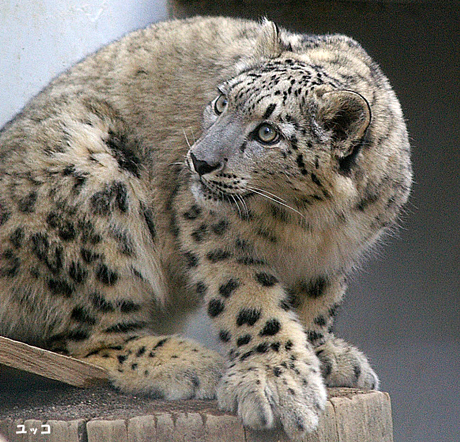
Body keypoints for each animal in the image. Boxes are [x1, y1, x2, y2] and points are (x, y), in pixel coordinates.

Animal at [0, 16, 412, 438]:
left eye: (268, 133)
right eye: (221, 102)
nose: (199, 160)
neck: (310, 222)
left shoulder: (335, 256)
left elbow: (319, 303)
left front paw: (324, 355)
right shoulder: (215, 231)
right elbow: (249, 300)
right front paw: (277, 381)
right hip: (92, 188)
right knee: (89, 340)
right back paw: (190, 363)